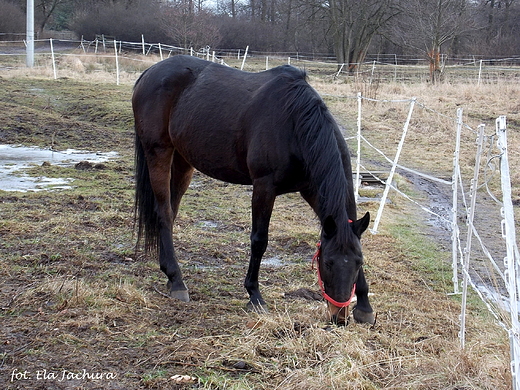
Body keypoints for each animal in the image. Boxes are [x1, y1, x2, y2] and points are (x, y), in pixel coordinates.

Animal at [130, 54, 374, 322]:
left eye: (358, 262)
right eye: (328, 262)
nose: (339, 317)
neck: (294, 123)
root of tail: (150, 73)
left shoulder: (311, 190)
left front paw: (365, 306)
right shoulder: (264, 187)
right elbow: (259, 239)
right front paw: (254, 295)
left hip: (184, 161)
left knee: (171, 212)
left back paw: (169, 274)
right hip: (158, 152)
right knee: (163, 213)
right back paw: (177, 281)